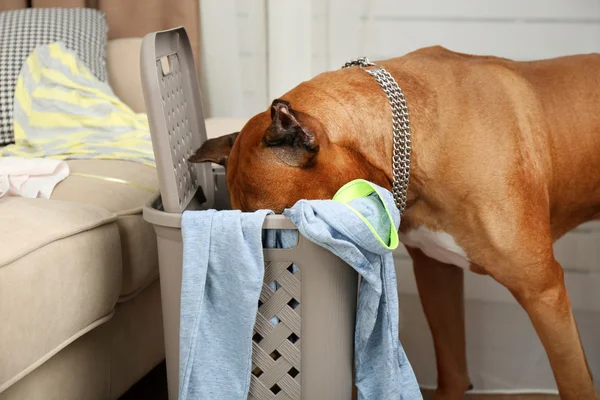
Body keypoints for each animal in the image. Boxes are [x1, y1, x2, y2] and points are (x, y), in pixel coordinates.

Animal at [191, 46, 600, 396]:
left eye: (277, 231)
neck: (409, 138)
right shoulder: (437, 272)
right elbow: (452, 367)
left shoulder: (543, 291)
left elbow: (575, 381)